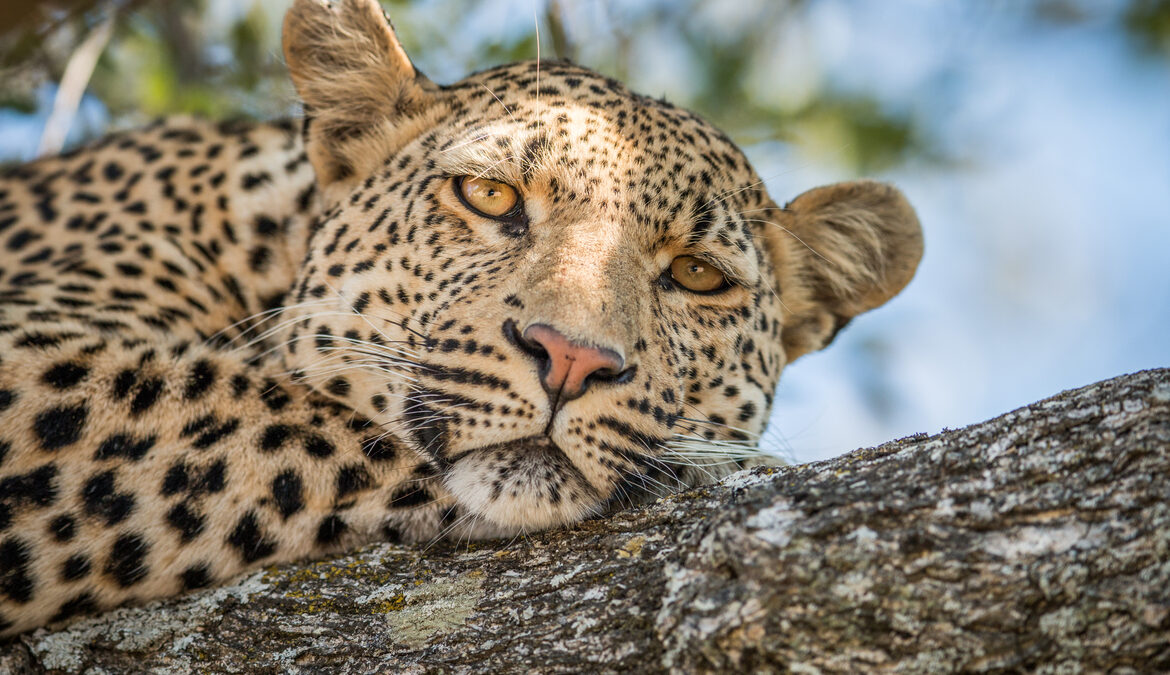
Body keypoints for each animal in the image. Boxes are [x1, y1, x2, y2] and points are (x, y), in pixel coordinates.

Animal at [0, 0, 923, 637]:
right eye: (490, 196)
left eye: (696, 275)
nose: (571, 359)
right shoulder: (34, 356)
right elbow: (283, 419)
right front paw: (730, 470)